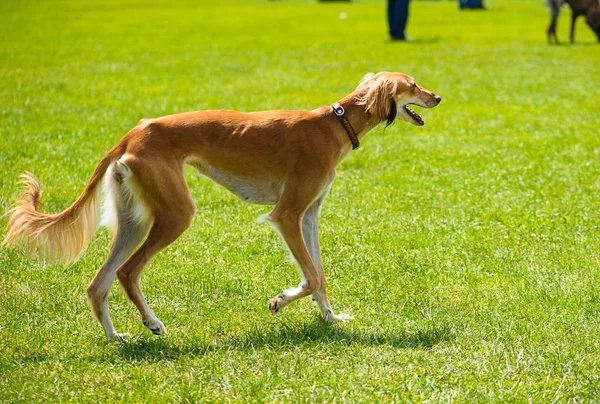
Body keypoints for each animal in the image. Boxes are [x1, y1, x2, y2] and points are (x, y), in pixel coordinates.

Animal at [3, 72, 440, 340]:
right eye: (413, 84)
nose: (438, 96)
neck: (333, 123)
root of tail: (135, 131)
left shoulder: (309, 216)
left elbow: (320, 275)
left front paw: (331, 318)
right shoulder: (287, 215)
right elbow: (312, 277)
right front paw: (279, 301)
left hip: (134, 219)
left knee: (99, 283)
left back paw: (116, 337)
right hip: (176, 214)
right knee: (127, 272)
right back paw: (152, 323)